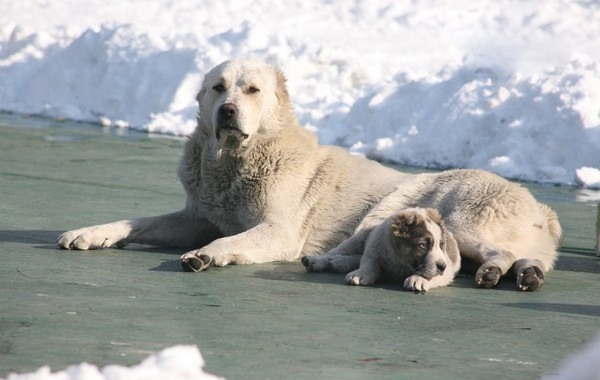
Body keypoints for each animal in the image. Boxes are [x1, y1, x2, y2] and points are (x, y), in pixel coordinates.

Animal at [56, 59, 564, 290]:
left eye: (252, 90)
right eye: (218, 88)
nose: (227, 111)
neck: (237, 161)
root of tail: (543, 208)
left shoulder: (277, 230)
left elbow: (230, 239)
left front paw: (205, 255)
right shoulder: (196, 215)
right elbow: (138, 221)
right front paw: (91, 233)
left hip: (454, 215)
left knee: (491, 252)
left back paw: (496, 272)